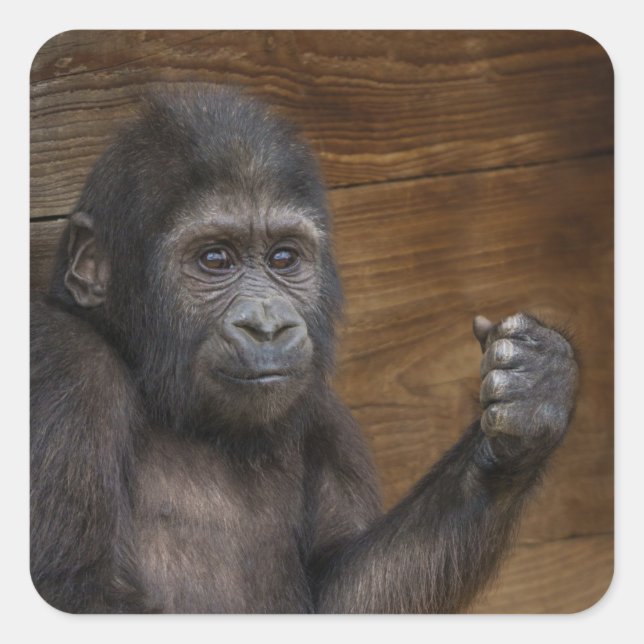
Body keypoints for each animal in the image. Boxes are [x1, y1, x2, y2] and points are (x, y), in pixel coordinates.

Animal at [30, 84, 578, 613]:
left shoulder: (329, 422)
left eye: (283, 258)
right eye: (214, 259)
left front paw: (533, 396)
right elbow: (80, 589)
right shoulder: (65, 368)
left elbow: (345, 593)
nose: (267, 325)